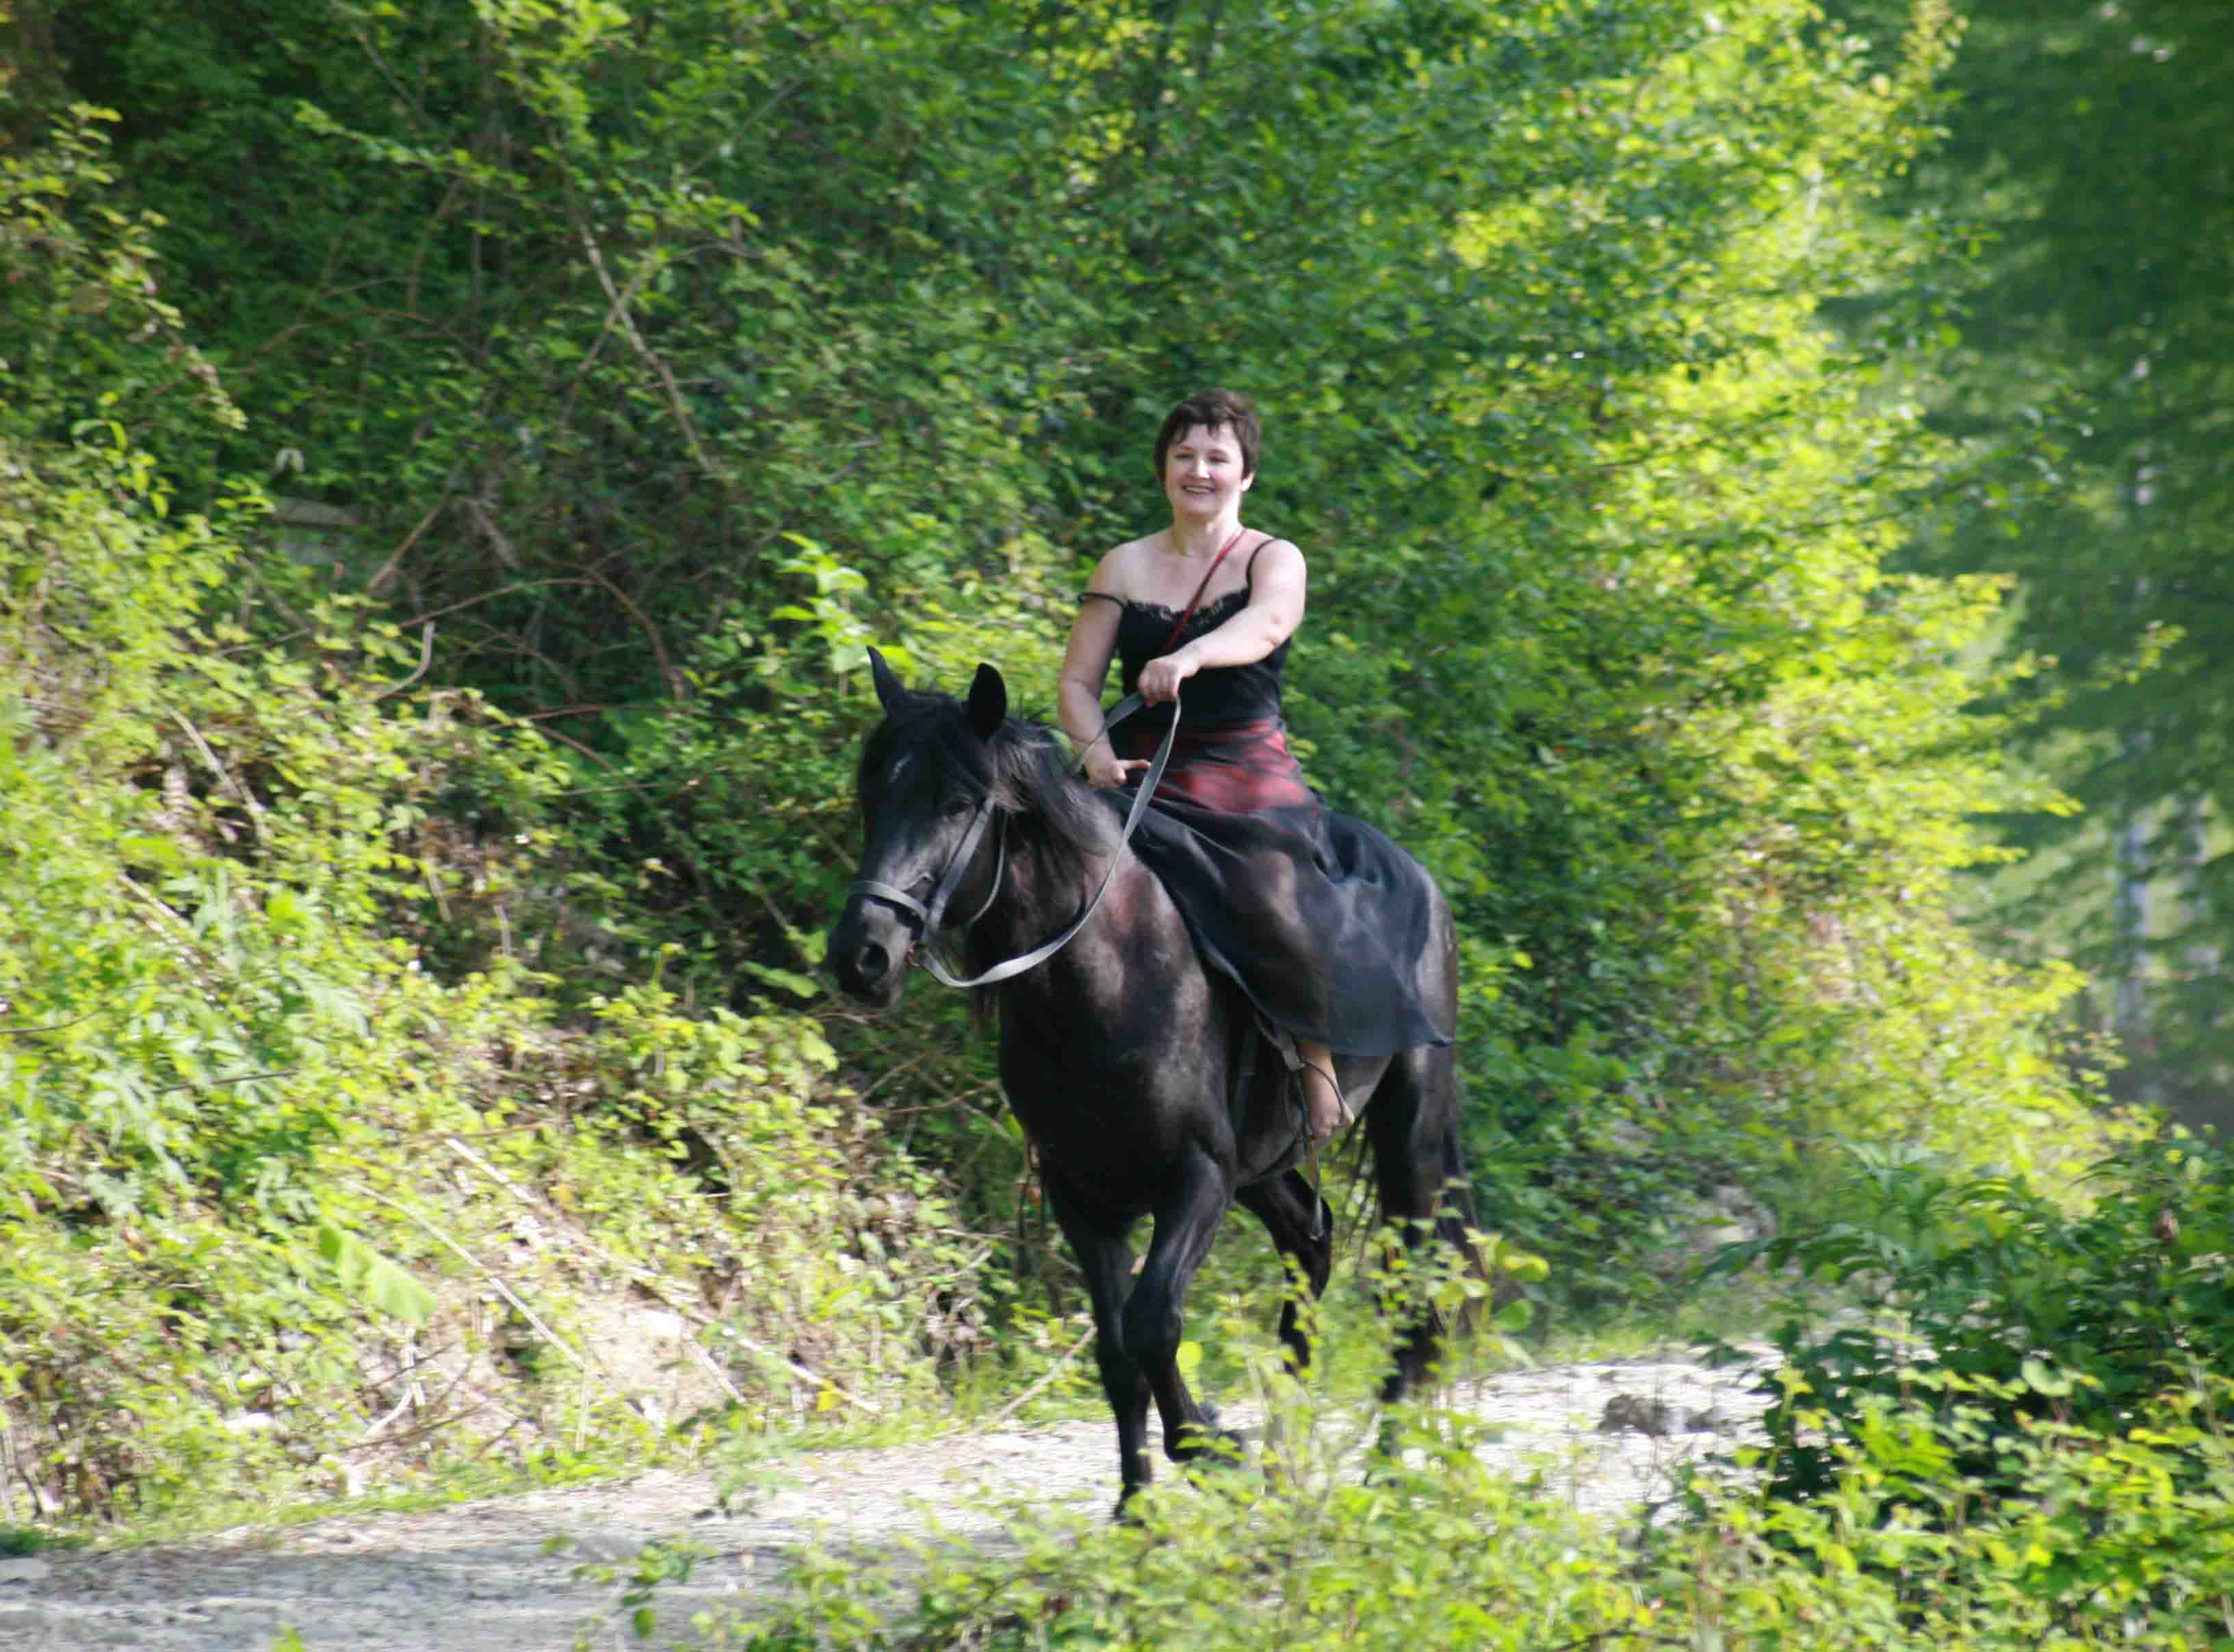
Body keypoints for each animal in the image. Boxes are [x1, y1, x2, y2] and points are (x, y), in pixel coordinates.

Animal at [827, 648, 1478, 1512]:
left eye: (958, 802)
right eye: (875, 794)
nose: (860, 957)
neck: (1108, 976)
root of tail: (1424, 883)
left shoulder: (1195, 1176)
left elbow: (1153, 1321)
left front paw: (1209, 1443)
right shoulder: (1083, 1195)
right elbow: (1114, 1351)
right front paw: (1138, 1507)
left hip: (1407, 1129)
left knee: (1414, 1291)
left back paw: (1382, 1470)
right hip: (1262, 1166)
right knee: (1312, 1244)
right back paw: (1286, 1454)